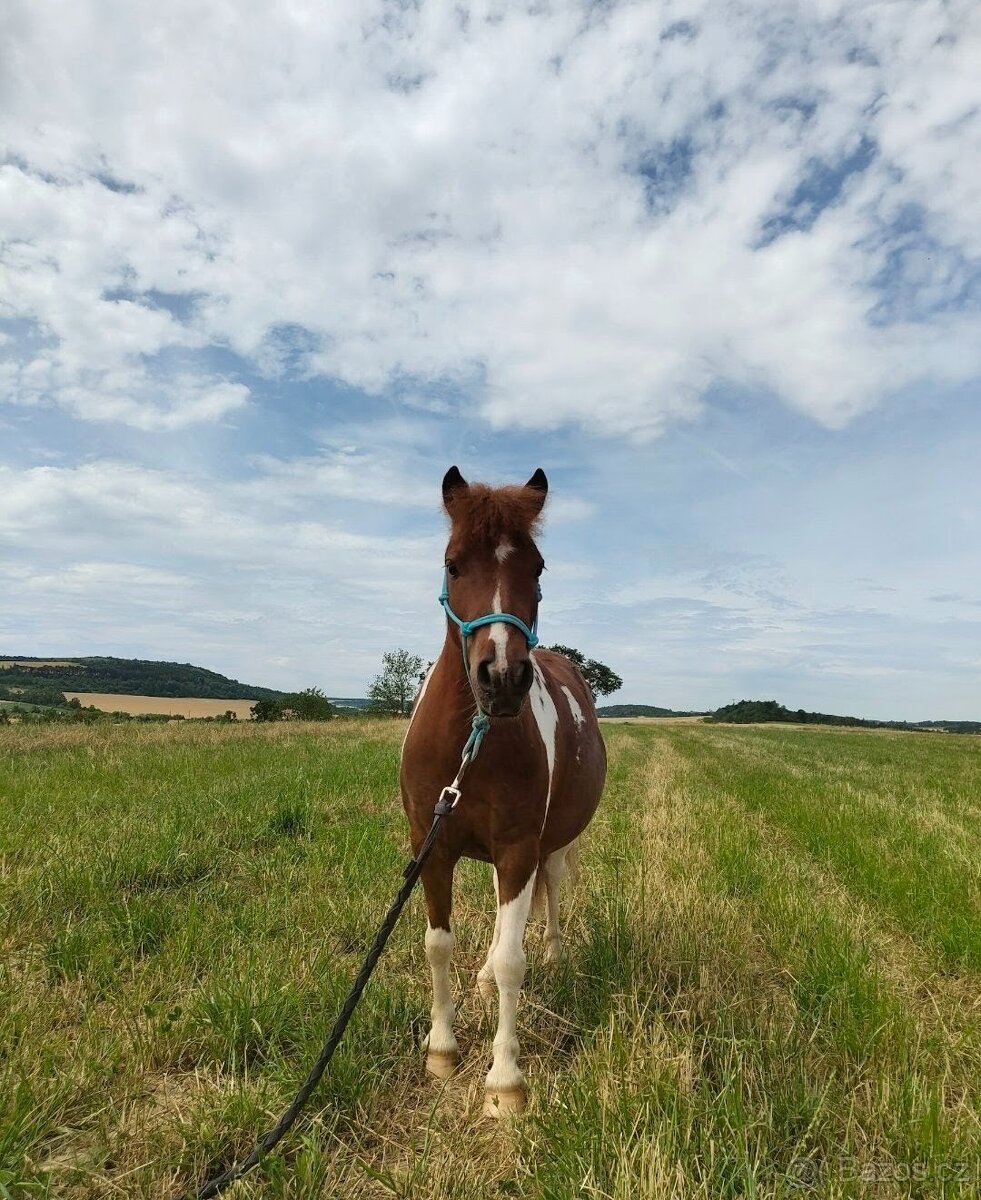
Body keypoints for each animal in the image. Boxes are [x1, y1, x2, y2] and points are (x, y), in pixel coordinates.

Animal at [399, 466, 607, 1116]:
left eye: (537, 567)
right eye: (453, 563)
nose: (502, 677)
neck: (472, 740)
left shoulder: (519, 846)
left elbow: (515, 960)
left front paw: (505, 1082)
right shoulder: (433, 845)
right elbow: (437, 945)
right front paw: (442, 1050)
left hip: (552, 845)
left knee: (552, 892)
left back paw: (556, 955)